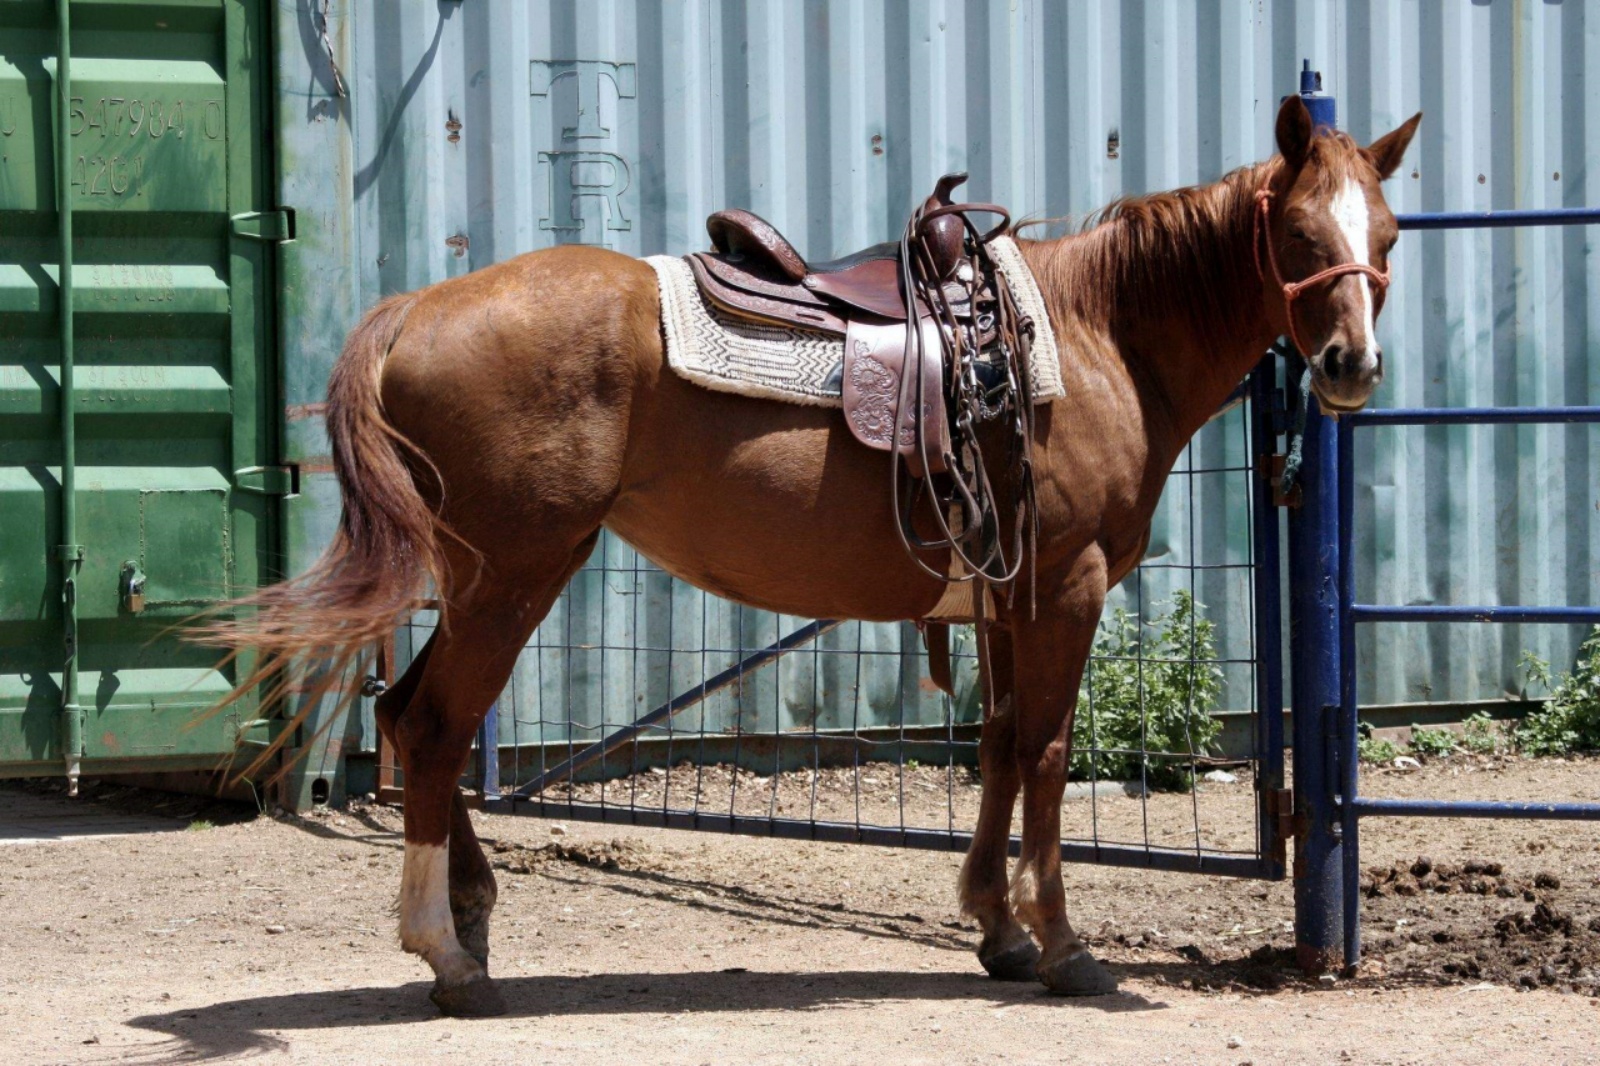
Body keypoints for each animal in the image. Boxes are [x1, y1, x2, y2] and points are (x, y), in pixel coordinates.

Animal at [206, 93, 1420, 1011]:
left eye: (1389, 236)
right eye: (1300, 236)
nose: (1353, 365)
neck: (1092, 336)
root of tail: (416, 309)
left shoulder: (1005, 596)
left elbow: (993, 748)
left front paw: (997, 930)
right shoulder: (1062, 589)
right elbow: (1045, 754)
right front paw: (1063, 946)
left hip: (481, 580)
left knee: (411, 715)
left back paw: (471, 917)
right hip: (512, 574)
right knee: (433, 726)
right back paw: (448, 954)